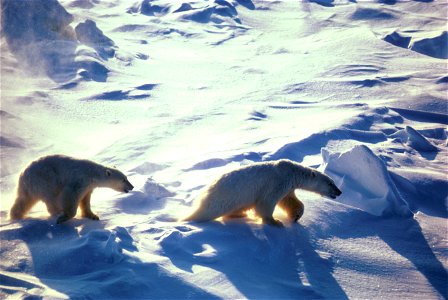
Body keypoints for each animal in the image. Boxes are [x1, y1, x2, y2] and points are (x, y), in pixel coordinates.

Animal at [184, 159, 342, 225]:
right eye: (331, 183)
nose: (340, 192)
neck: (293, 172)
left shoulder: (288, 186)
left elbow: (289, 200)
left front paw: (296, 216)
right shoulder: (277, 181)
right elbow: (266, 202)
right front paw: (276, 222)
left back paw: (239, 214)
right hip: (223, 199)